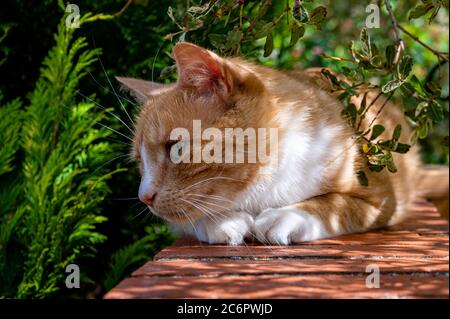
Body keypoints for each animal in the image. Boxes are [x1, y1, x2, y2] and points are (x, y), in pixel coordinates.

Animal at [115, 42, 422, 246]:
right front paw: (222, 221)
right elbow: (193, 216)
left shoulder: (382, 199)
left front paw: (289, 216)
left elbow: (335, 205)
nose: (144, 197)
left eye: (177, 148)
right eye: (140, 162)